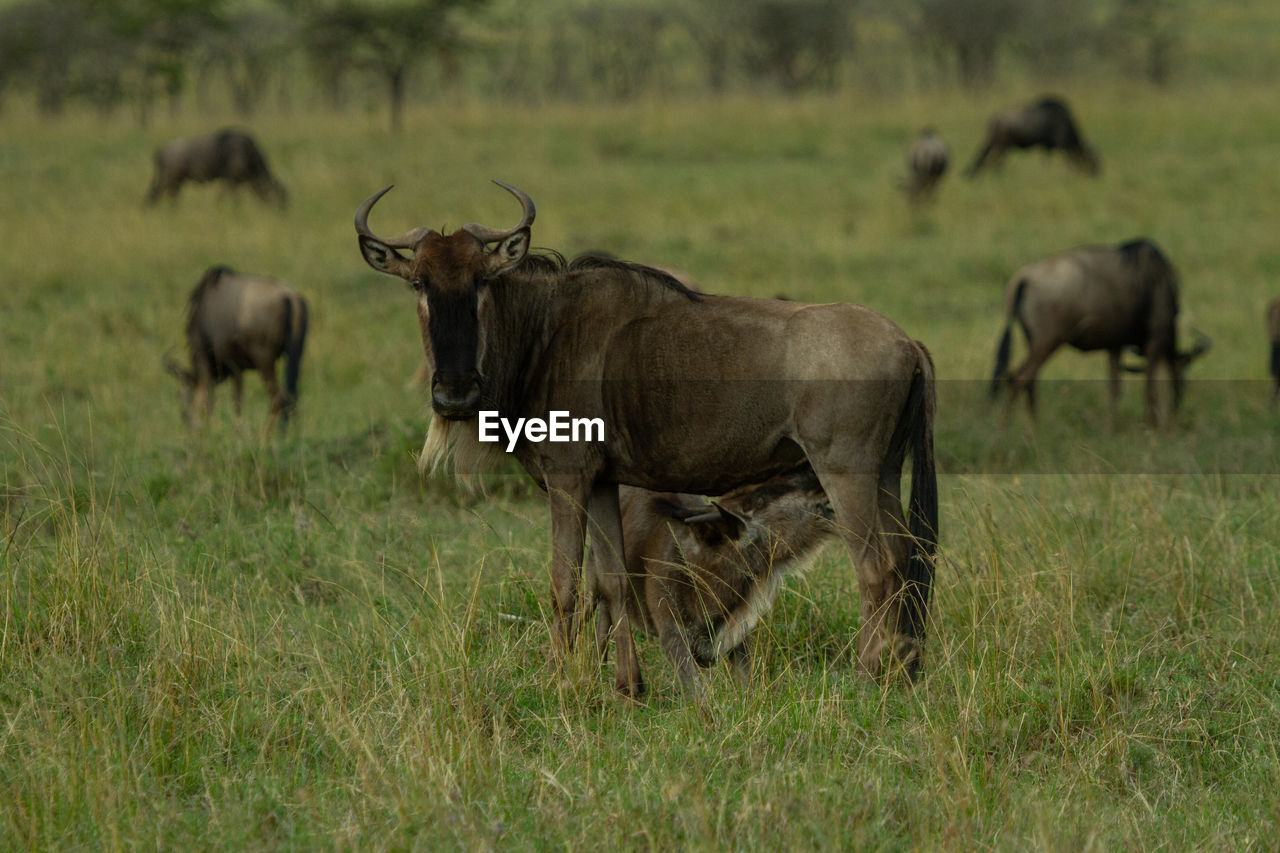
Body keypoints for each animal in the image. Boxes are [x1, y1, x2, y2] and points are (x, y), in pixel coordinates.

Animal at [145, 128, 288, 206]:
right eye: (280, 198)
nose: (283, 213)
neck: (248, 154)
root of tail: (161, 150)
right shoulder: (232, 182)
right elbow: (233, 201)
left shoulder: (231, 182)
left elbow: (223, 199)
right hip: (169, 180)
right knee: (157, 195)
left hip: (176, 182)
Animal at [163, 263, 308, 435]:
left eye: (179, 394)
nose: (189, 424)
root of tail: (290, 297)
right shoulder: (237, 369)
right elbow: (235, 402)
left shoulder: (214, 361)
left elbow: (216, 401)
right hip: (295, 357)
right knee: (292, 396)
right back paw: (289, 435)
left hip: (264, 361)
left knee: (278, 398)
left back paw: (264, 437)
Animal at [601, 468, 839, 696]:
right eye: (761, 498)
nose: (811, 470)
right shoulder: (672, 636)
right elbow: (699, 695)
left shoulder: (736, 635)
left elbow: (746, 685)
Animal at [967, 94, 1100, 175]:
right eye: (1093, 161)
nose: (1097, 174)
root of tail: (994, 120)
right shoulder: (1057, 146)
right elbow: (1062, 162)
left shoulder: (1049, 147)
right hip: (1002, 145)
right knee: (993, 161)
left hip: (1001, 145)